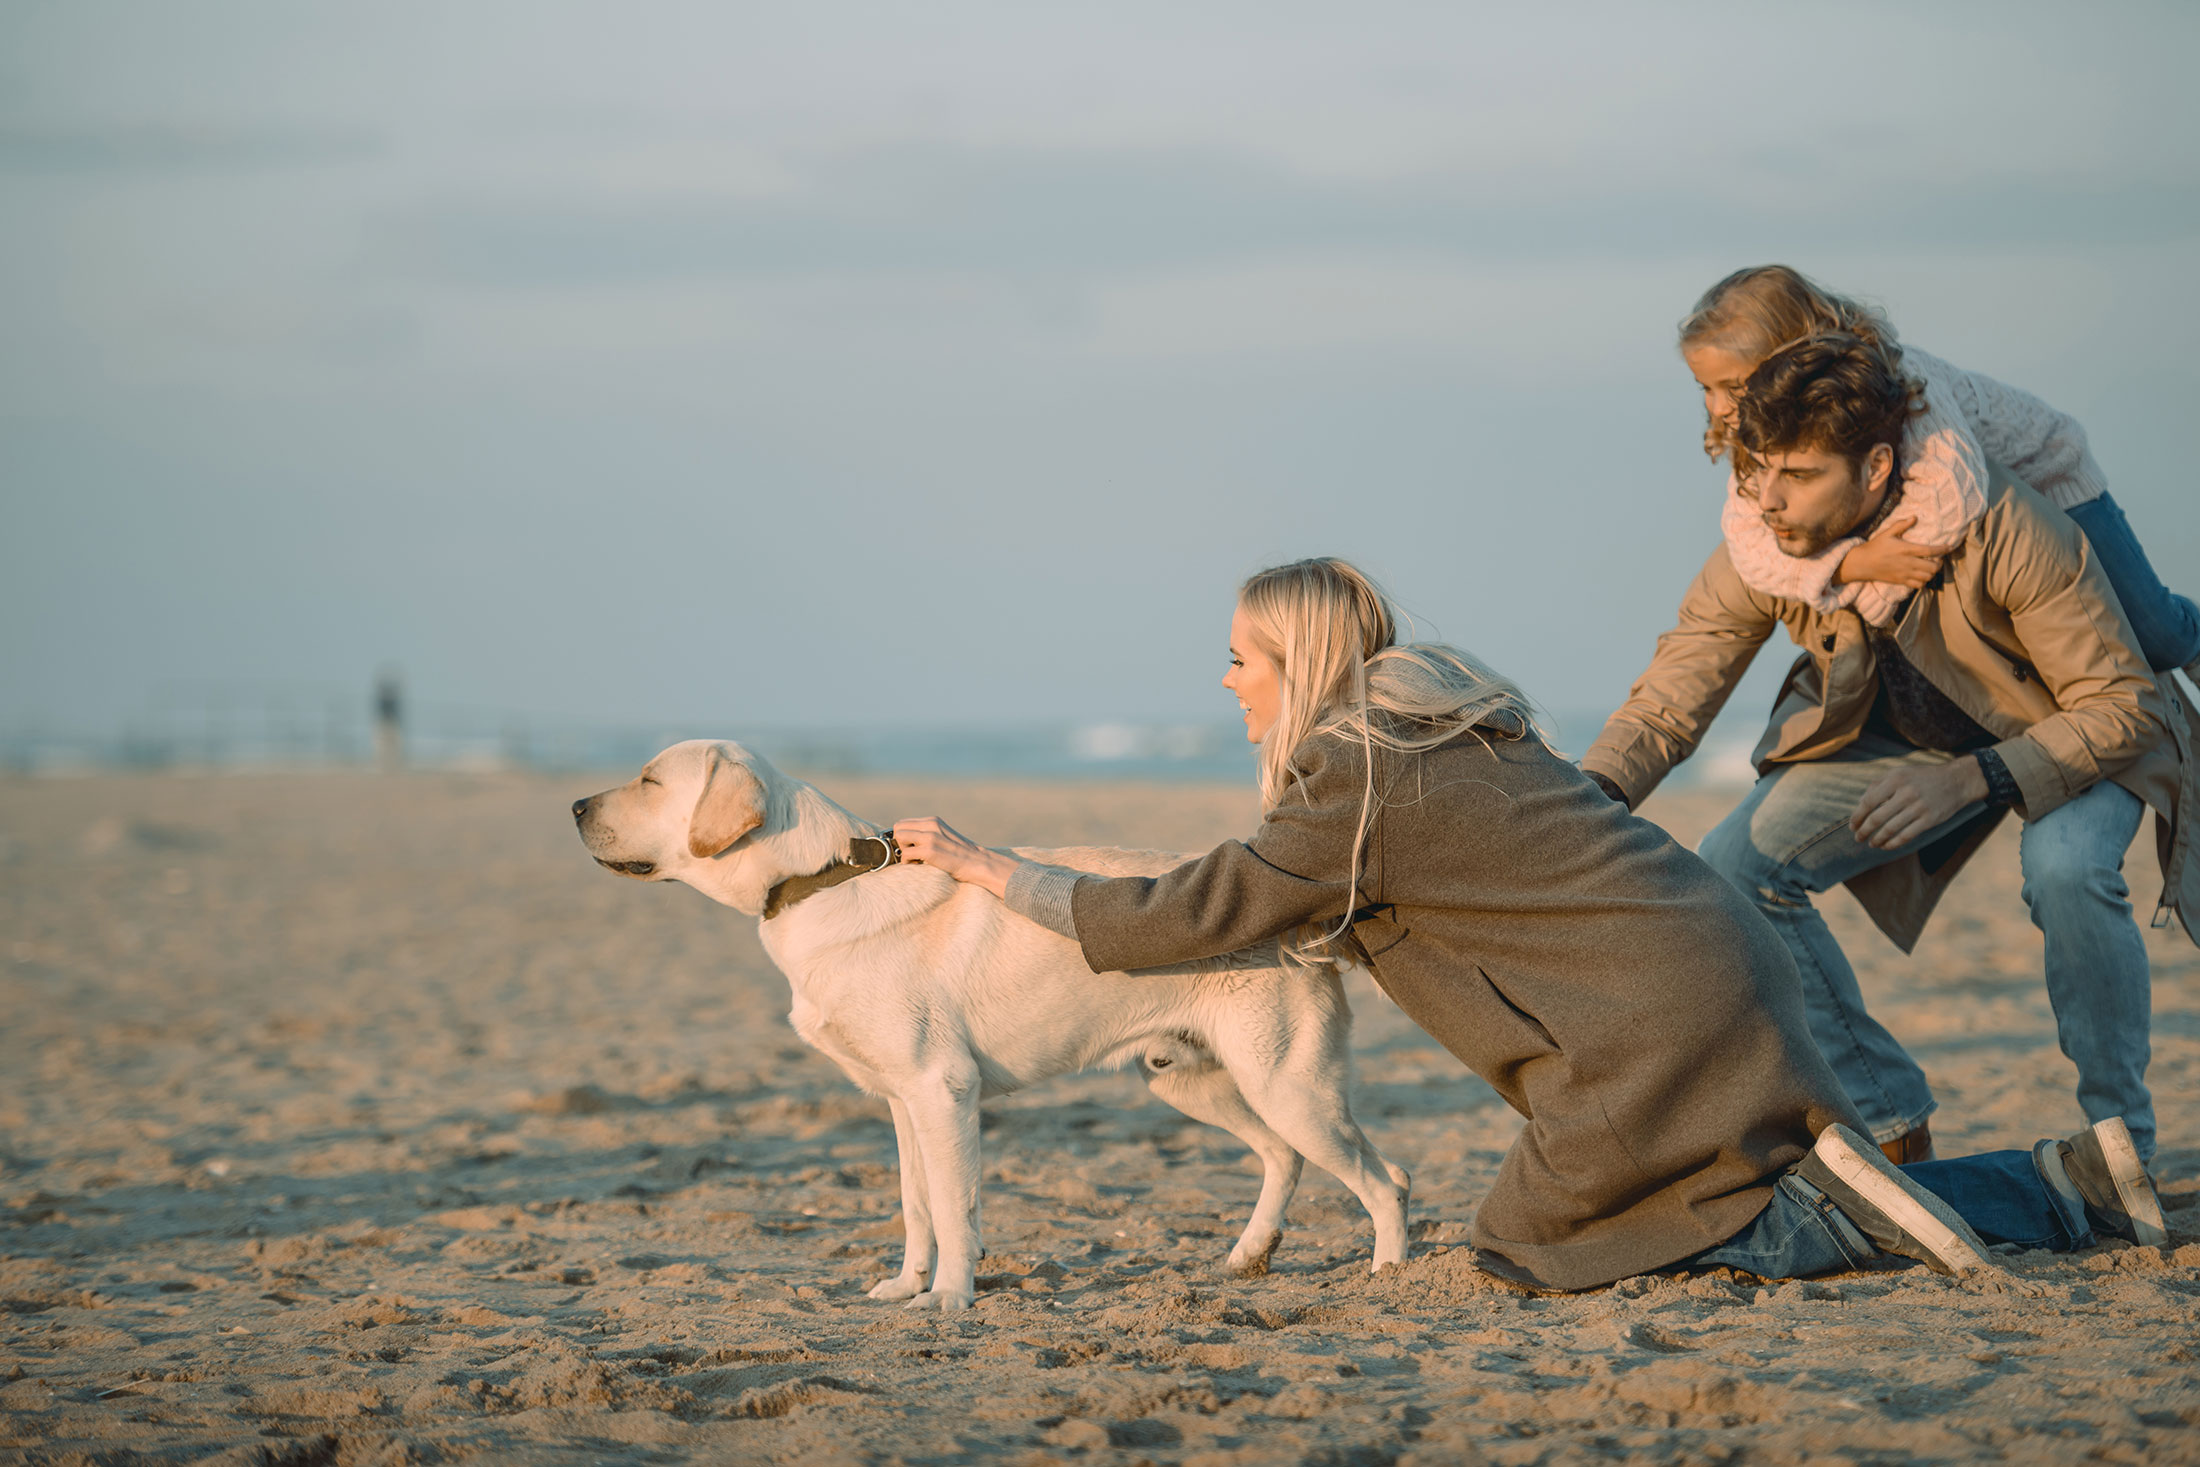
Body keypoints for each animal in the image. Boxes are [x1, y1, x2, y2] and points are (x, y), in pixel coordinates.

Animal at [572, 738, 1408, 1310]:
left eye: (650, 780)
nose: (574, 806)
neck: (820, 879)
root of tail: (1302, 923)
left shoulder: (942, 1089)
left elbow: (952, 1204)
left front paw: (949, 1295)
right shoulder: (903, 1102)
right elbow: (915, 1203)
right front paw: (907, 1284)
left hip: (1286, 1084)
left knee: (1386, 1177)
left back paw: (1391, 1274)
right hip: (1198, 1083)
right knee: (1284, 1157)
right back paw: (1249, 1254)